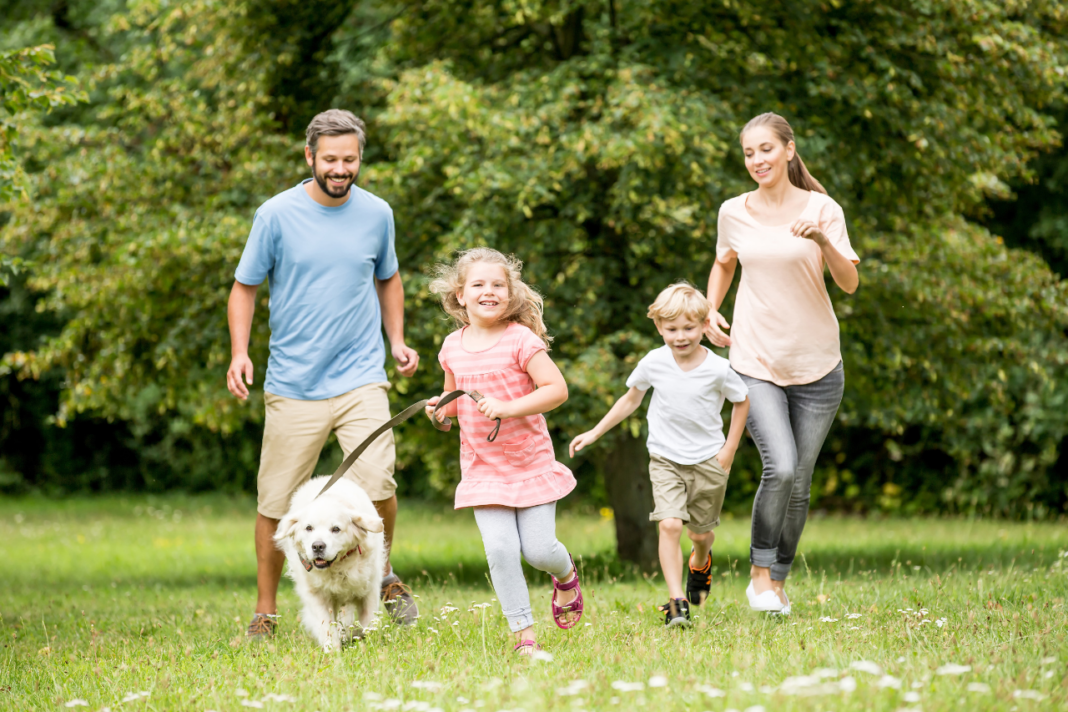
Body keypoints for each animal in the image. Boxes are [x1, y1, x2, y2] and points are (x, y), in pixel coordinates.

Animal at [273, 476, 386, 649]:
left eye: (336, 529)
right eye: (309, 528)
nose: (318, 546)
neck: (337, 567)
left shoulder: (370, 589)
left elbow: (368, 623)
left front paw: (367, 644)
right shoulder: (316, 595)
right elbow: (326, 625)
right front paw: (333, 650)